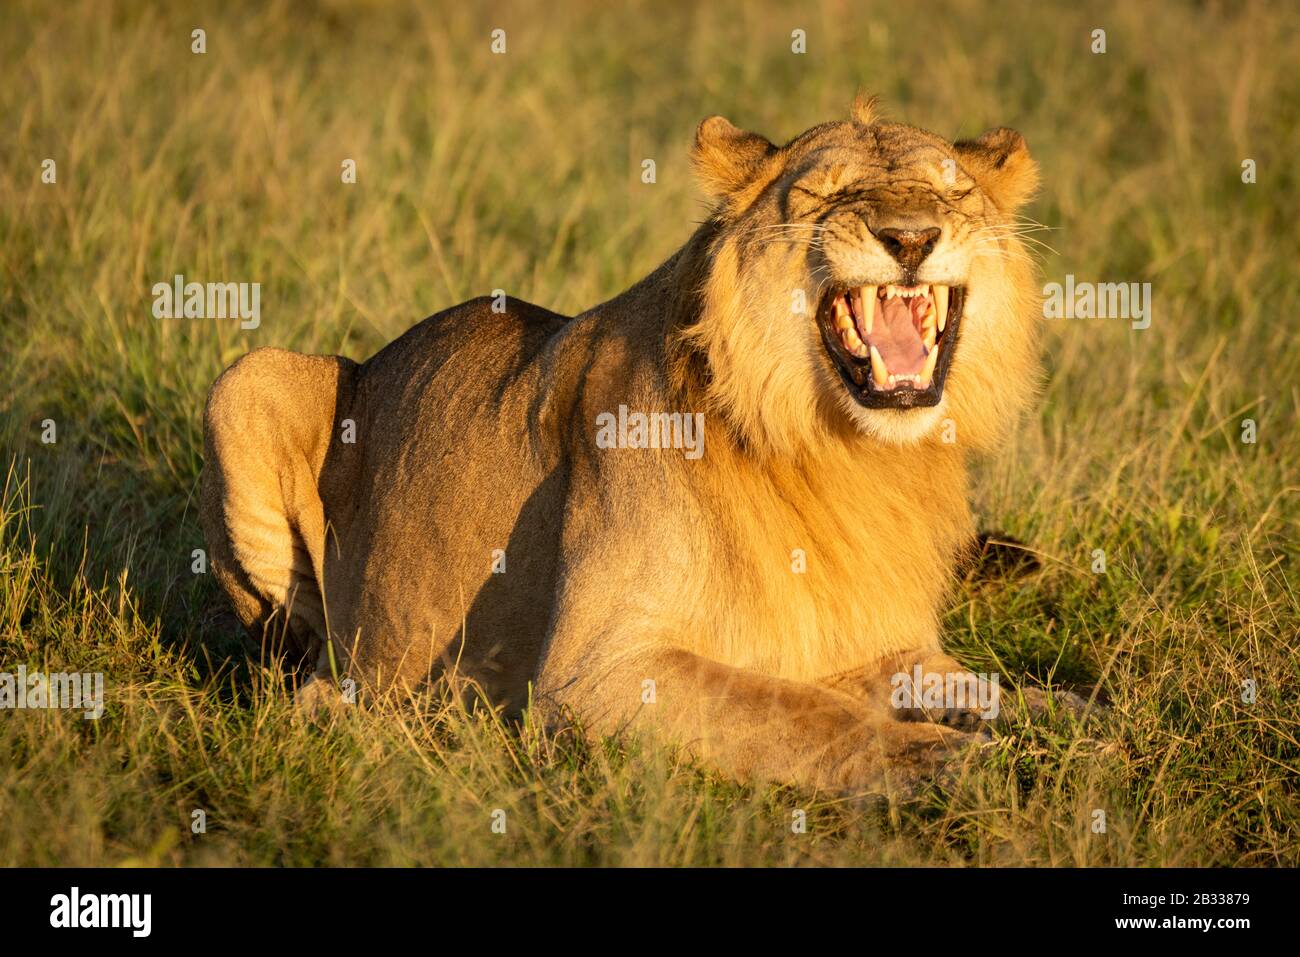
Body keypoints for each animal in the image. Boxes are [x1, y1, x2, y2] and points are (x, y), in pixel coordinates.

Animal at [205, 97, 1055, 795]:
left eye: (954, 194)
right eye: (823, 195)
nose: (911, 235)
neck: (846, 449)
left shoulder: (868, 641)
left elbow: (982, 685)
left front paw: (1067, 718)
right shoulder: (597, 674)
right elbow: (799, 711)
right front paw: (943, 757)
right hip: (248, 380)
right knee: (297, 672)